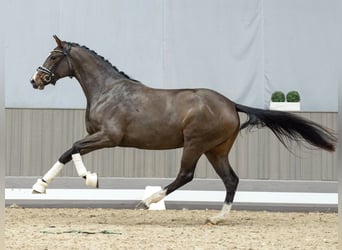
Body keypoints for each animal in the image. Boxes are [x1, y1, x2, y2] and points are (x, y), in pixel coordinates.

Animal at [30, 35, 336, 225]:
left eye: (54, 56)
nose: (35, 80)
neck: (108, 91)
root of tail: (229, 103)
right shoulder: (99, 136)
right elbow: (70, 151)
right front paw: (45, 185)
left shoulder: (109, 137)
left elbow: (72, 148)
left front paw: (82, 180)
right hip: (216, 150)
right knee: (231, 180)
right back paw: (217, 218)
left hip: (195, 144)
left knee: (186, 175)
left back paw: (148, 201)